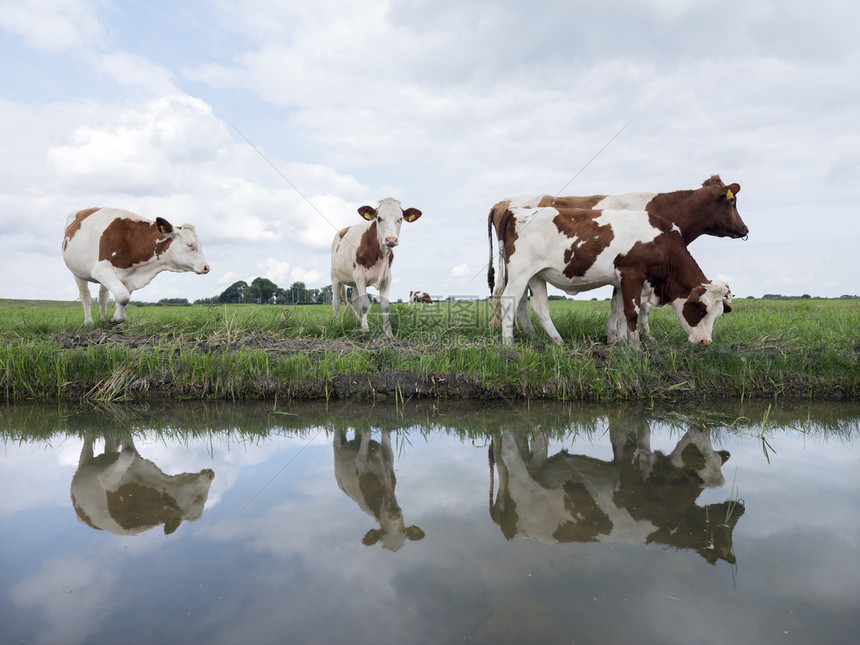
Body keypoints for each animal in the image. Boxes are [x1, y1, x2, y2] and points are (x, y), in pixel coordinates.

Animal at [62, 206, 210, 324]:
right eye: (190, 244)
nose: (206, 267)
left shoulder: (128, 277)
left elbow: (123, 301)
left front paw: (117, 321)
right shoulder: (101, 270)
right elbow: (123, 297)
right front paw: (114, 319)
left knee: (103, 295)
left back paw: (102, 319)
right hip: (78, 272)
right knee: (85, 295)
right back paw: (89, 323)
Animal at [72, 436, 217, 536]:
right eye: (197, 499)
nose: (212, 474)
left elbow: (129, 446)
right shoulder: (106, 479)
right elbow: (128, 451)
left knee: (109, 445)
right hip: (83, 466)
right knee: (88, 440)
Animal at [330, 196, 422, 338]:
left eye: (400, 218)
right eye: (379, 218)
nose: (391, 239)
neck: (381, 254)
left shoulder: (387, 278)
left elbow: (385, 306)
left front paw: (388, 333)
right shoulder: (360, 276)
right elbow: (364, 305)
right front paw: (365, 330)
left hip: (354, 283)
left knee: (354, 300)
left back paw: (356, 323)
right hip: (335, 277)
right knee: (335, 302)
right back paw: (336, 323)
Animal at [488, 422, 744, 564]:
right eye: (700, 456)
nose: (702, 428)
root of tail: (508, 531)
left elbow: (634, 436)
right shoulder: (628, 474)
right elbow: (634, 436)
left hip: (529, 469)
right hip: (521, 479)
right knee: (510, 448)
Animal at [490, 176, 744, 344]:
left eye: (718, 314)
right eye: (700, 309)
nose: (705, 342)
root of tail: (511, 208)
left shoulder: (623, 279)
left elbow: (620, 308)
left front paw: (618, 340)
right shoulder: (633, 275)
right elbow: (633, 310)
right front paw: (635, 343)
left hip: (535, 275)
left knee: (537, 306)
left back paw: (553, 341)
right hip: (520, 272)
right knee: (509, 300)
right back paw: (509, 344)